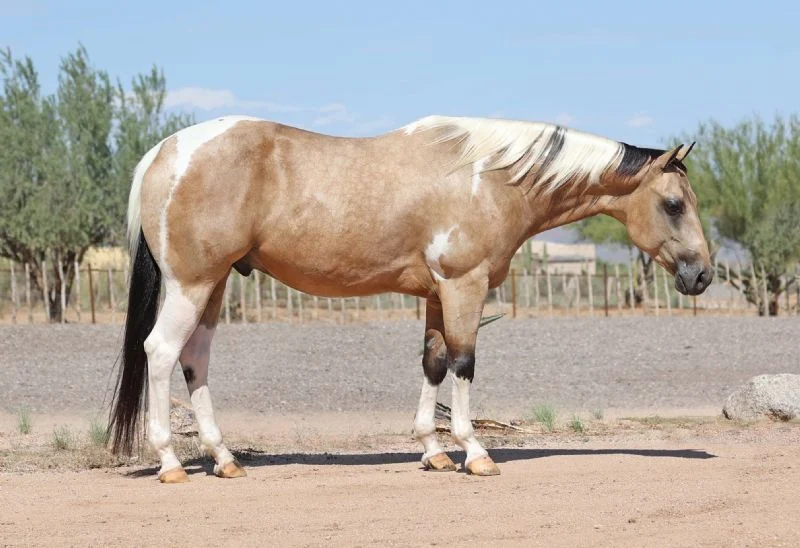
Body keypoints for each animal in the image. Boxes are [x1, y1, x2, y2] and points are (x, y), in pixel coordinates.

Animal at [107, 114, 713, 483]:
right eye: (675, 204)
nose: (703, 274)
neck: (490, 178)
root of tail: (164, 153)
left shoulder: (436, 293)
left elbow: (434, 361)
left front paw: (434, 452)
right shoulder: (464, 284)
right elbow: (465, 363)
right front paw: (475, 454)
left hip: (213, 286)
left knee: (195, 359)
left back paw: (225, 458)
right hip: (191, 284)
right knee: (161, 352)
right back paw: (170, 463)